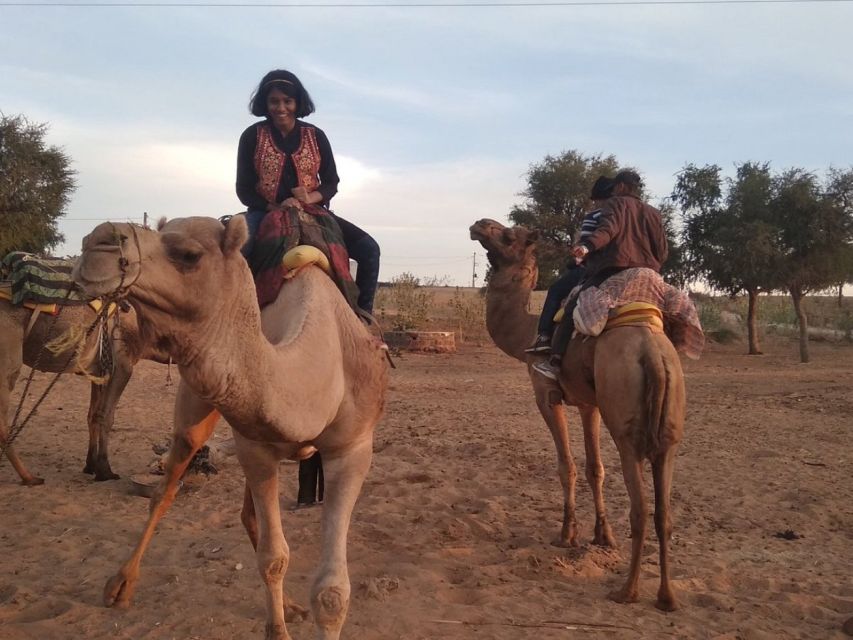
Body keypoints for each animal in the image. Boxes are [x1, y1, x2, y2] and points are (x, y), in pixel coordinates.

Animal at [0, 252, 170, 482]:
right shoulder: (122, 366)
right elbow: (106, 416)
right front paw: (105, 470)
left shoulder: (98, 370)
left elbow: (92, 415)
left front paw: (90, 465)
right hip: (8, 357)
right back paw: (29, 478)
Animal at [75, 216, 388, 640]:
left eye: (189, 254)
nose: (97, 242)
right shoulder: (255, 446)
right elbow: (273, 558)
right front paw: (277, 629)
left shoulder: (352, 447)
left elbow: (331, 592)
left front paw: (294, 611)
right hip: (196, 409)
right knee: (166, 488)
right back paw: (122, 584)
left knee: (245, 514)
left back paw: (291, 605)